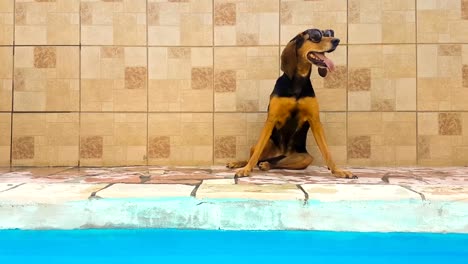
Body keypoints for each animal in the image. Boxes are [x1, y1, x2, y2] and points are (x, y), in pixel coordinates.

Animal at [229, 27, 356, 178]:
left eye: (328, 33)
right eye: (315, 36)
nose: (336, 40)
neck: (298, 82)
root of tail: (282, 153)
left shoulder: (315, 121)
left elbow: (327, 151)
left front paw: (337, 170)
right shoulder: (271, 119)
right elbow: (256, 153)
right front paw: (246, 169)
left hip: (305, 158)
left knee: (276, 162)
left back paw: (266, 164)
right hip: (262, 144)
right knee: (257, 155)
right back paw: (240, 163)